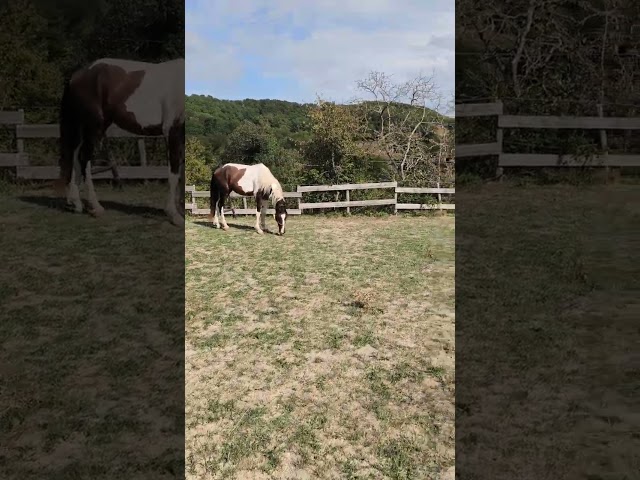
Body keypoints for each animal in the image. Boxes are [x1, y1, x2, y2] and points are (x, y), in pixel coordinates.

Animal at [54, 57, 185, 226]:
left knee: (75, 157)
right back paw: (96, 208)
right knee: (84, 160)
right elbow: (174, 173)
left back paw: (77, 204)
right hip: (93, 127)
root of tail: (77, 76)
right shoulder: (173, 131)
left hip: (82, 128)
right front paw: (174, 215)